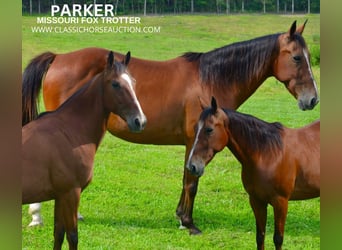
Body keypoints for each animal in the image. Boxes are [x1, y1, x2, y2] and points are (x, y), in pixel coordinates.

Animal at [22, 51, 146, 250]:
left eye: (133, 83)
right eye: (116, 84)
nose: (139, 121)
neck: (69, 131)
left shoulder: (60, 197)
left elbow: (58, 234)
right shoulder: (71, 194)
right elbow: (72, 236)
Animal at [187, 96, 318, 249]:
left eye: (209, 129)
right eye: (195, 128)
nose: (192, 166)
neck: (268, 154)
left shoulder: (281, 202)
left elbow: (278, 239)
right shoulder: (256, 201)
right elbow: (260, 237)